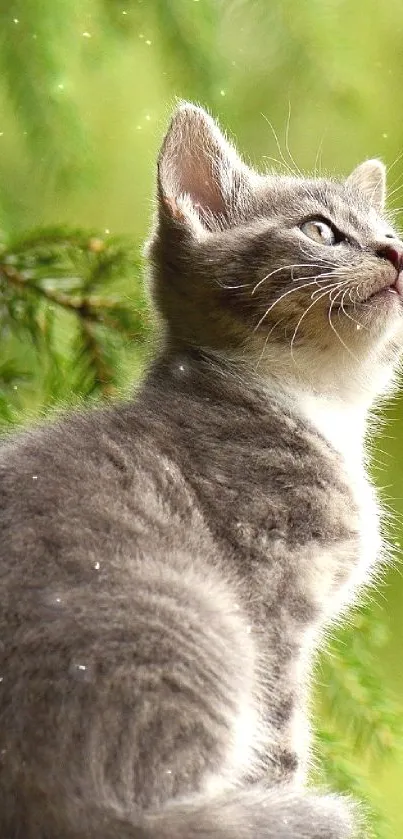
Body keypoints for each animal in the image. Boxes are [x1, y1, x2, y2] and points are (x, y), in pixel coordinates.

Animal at [1, 101, 402, 836]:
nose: (394, 252)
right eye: (319, 229)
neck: (315, 404)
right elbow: (280, 739)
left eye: (389, 232)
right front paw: (284, 793)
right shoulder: (272, 604)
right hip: (194, 620)